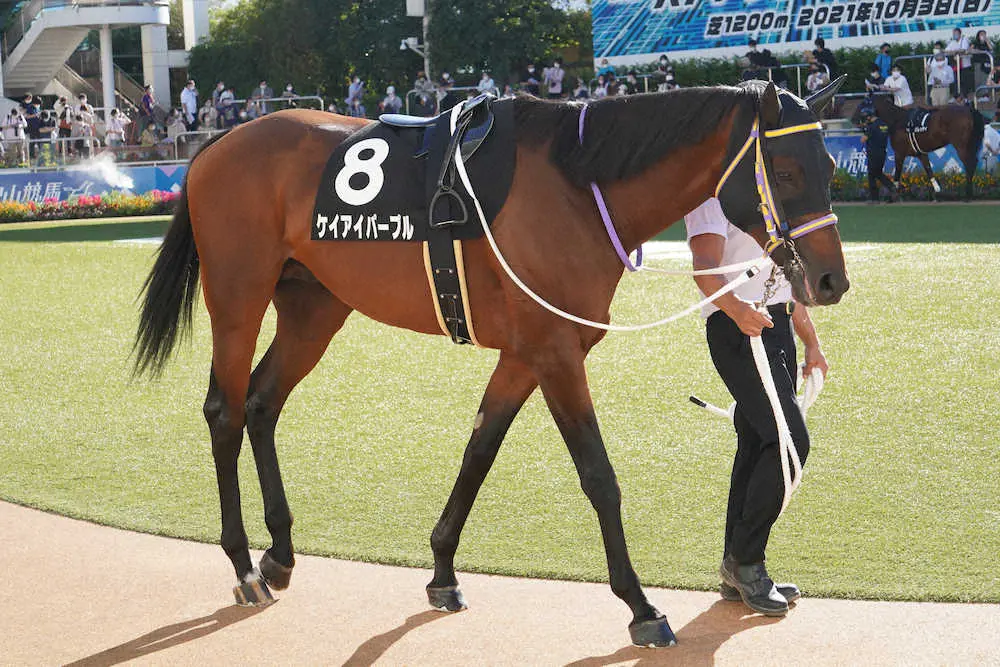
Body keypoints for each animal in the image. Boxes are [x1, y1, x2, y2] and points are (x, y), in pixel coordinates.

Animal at [133, 78, 849, 648]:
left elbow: (480, 448)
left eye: (829, 168)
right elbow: (599, 476)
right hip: (238, 299)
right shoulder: (556, 354)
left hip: (315, 306)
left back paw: (279, 554)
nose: (830, 280)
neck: (580, 186)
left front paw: (443, 570)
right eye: (786, 171)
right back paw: (242, 565)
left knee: (262, 401)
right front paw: (641, 605)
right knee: (225, 411)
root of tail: (217, 144)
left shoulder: (525, 354)